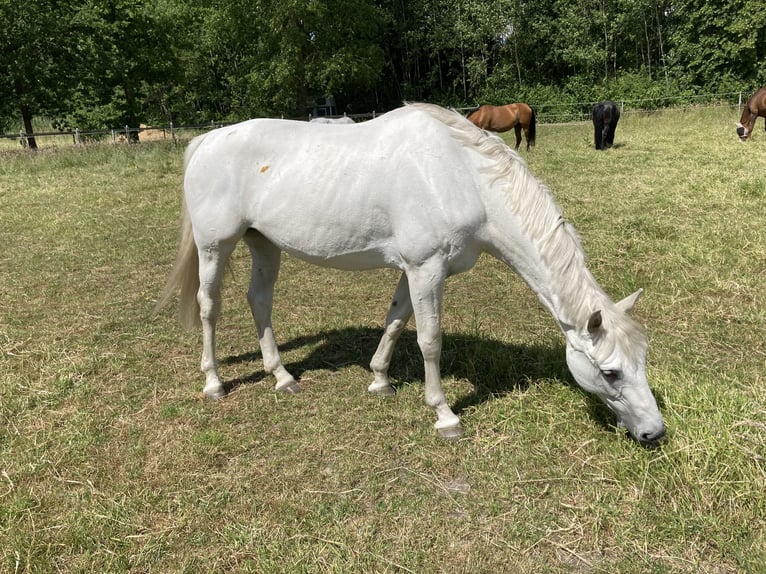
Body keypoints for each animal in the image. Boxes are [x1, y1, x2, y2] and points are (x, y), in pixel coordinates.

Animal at [160, 102, 664, 446]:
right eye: (611, 372)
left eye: (643, 361)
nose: (654, 433)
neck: (462, 176)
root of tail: (208, 141)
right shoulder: (427, 269)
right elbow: (429, 339)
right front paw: (444, 415)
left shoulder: (414, 270)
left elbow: (396, 320)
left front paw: (380, 380)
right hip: (215, 247)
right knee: (210, 307)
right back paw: (214, 383)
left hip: (263, 242)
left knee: (259, 300)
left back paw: (282, 376)